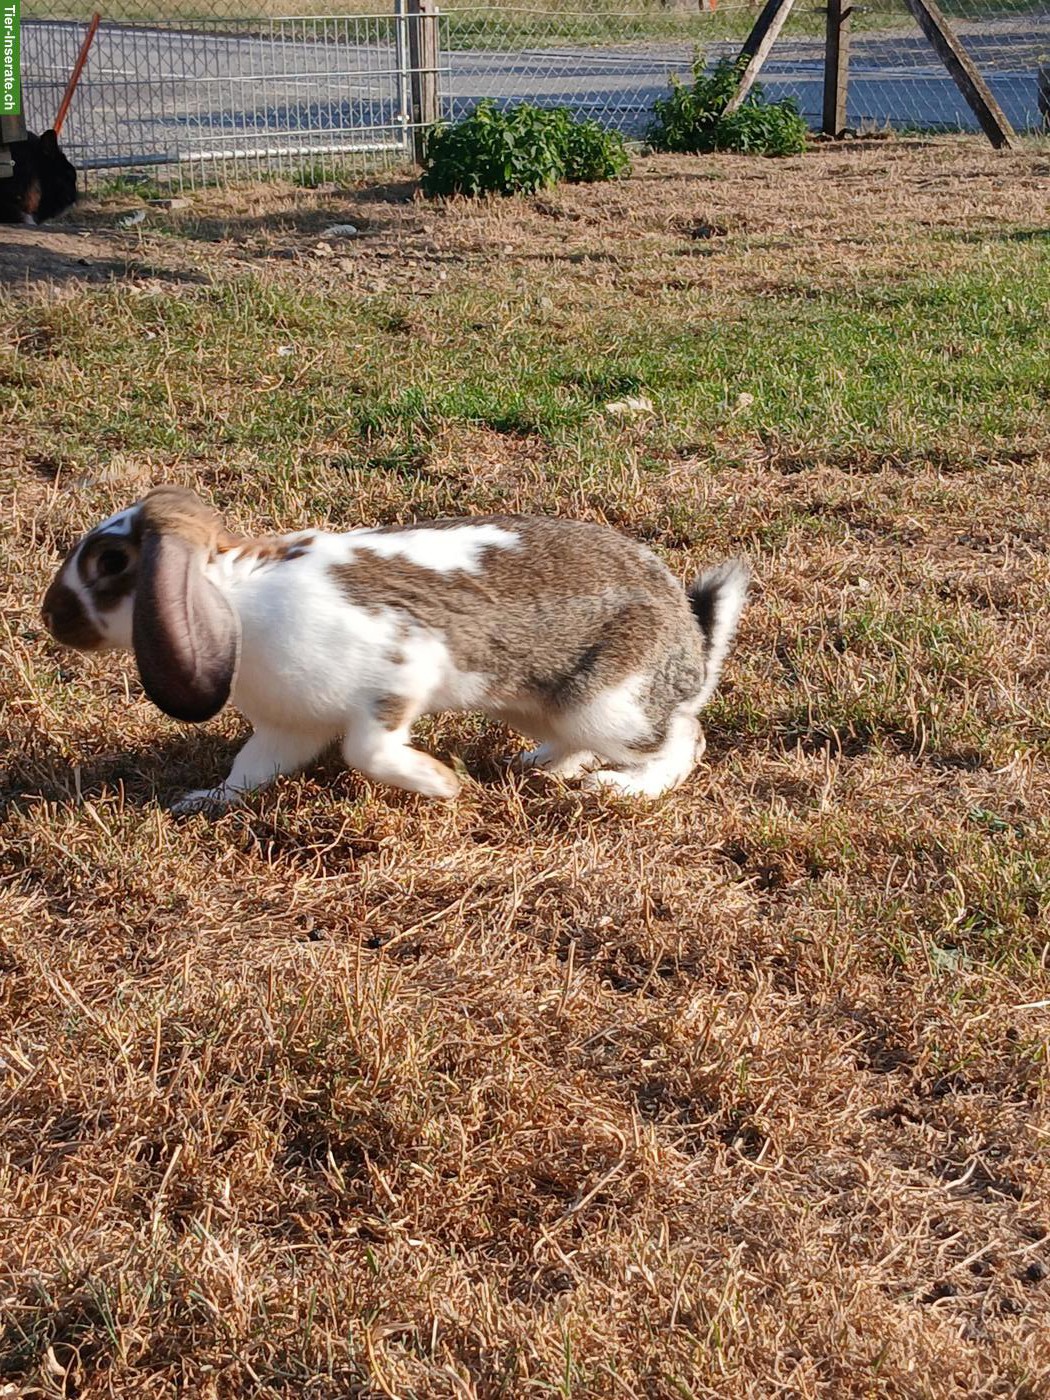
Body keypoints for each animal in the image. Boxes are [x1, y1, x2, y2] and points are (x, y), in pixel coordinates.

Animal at [41, 485, 749, 810]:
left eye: (110, 563)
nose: (51, 618)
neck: (232, 603)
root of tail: (691, 638)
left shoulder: (398, 673)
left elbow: (368, 751)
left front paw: (440, 784)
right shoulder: (287, 727)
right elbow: (250, 768)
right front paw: (205, 801)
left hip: (608, 704)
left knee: (682, 740)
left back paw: (621, 788)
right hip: (540, 705)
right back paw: (541, 766)